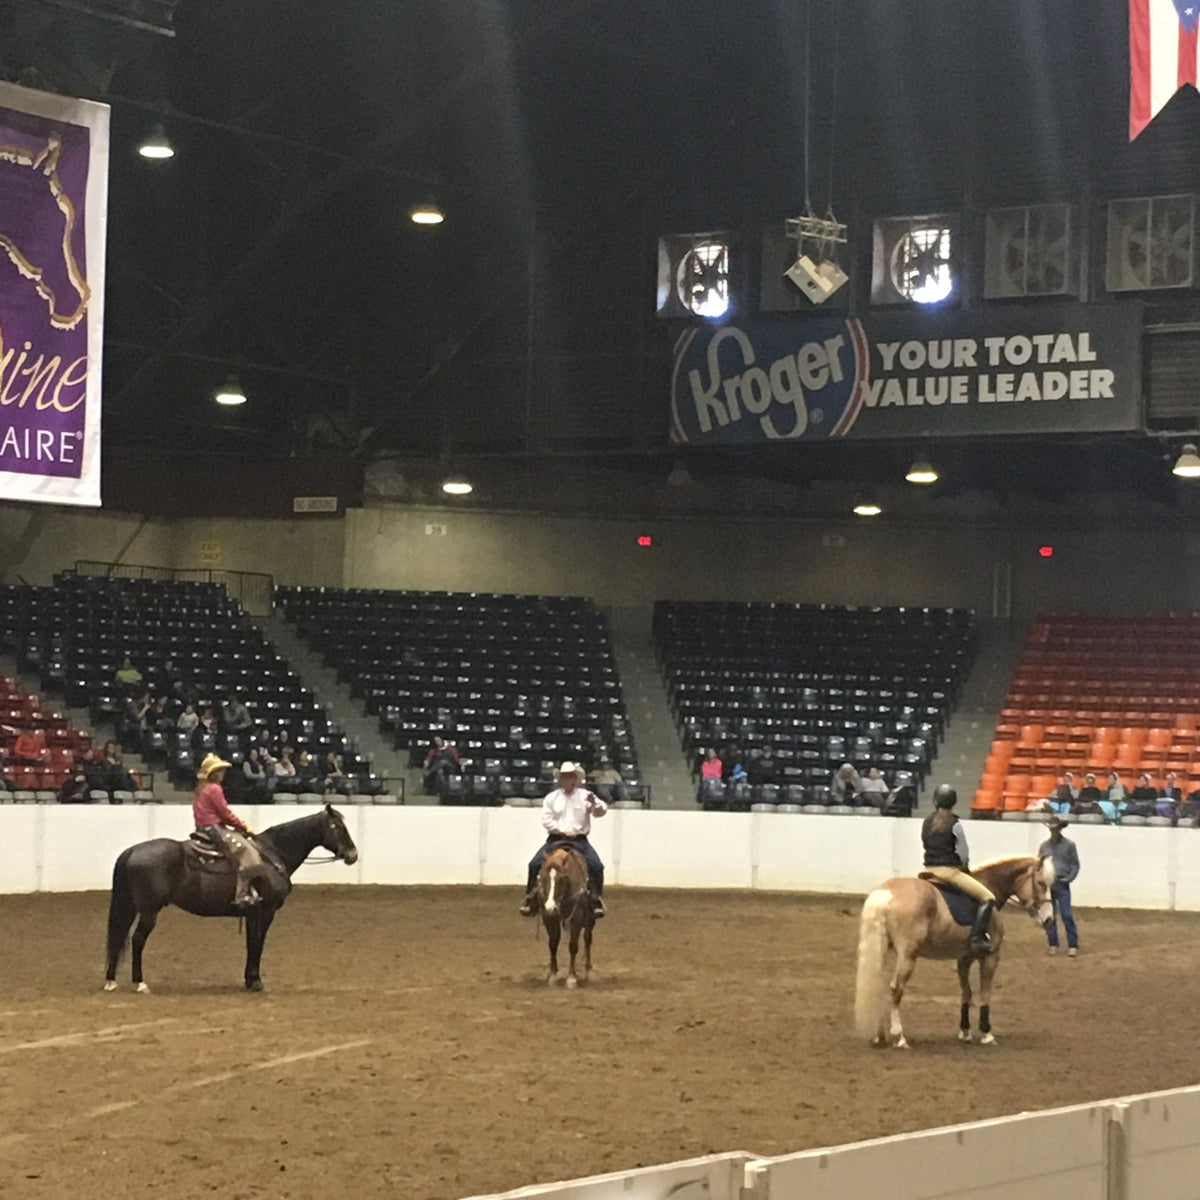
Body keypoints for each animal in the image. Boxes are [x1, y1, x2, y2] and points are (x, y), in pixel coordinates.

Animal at [104, 806, 355, 993]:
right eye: (339, 827)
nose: (353, 855)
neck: (273, 855)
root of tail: (132, 850)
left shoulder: (252, 913)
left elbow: (252, 944)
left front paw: (249, 980)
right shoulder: (266, 911)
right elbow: (258, 943)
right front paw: (256, 982)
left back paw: (111, 980)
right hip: (149, 910)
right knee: (137, 939)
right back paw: (140, 983)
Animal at [540, 840, 595, 988]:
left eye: (561, 879)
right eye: (543, 878)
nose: (550, 907)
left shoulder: (577, 917)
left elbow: (573, 946)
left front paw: (571, 978)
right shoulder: (548, 918)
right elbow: (552, 944)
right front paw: (553, 975)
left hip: (590, 919)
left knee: (587, 939)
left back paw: (589, 971)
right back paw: (548, 970)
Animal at [854, 854, 1051, 1051]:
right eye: (1041, 883)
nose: (1049, 920)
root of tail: (888, 891)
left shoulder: (964, 958)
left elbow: (966, 992)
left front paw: (965, 1032)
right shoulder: (990, 957)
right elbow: (985, 993)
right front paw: (987, 1034)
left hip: (882, 949)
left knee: (877, 985)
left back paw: (879, 1036)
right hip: (907, 956)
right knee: (896, 989)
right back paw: (899, 1038)